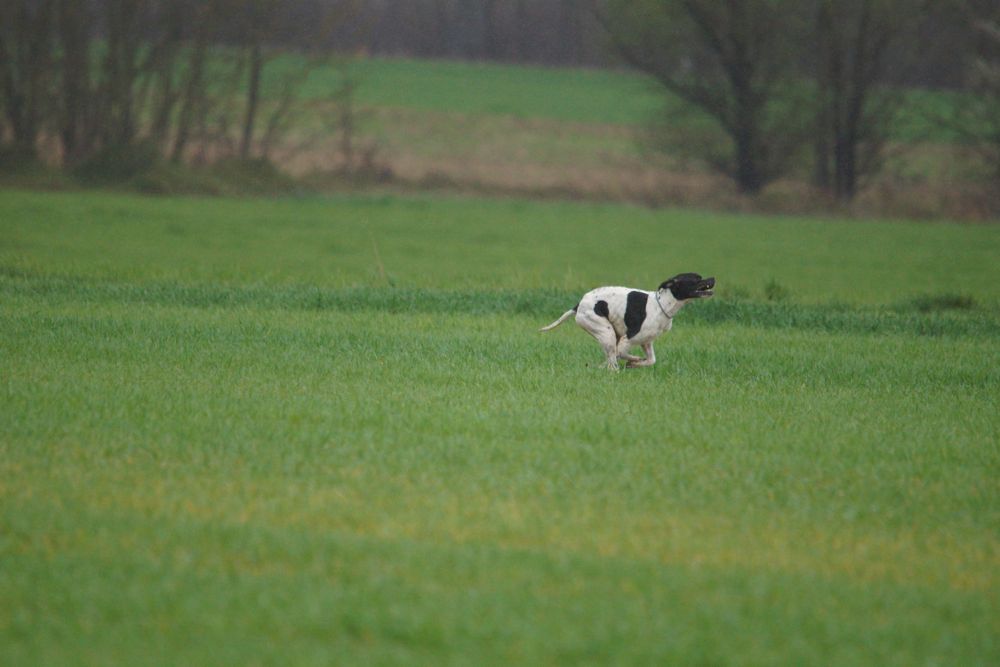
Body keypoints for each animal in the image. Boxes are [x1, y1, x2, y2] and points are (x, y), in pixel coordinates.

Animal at [540, 273, 715, 370]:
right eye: (696, 279)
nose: (713, 278)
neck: (663, 304)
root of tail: (579, 304)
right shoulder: (628, 338)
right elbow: (623, 353)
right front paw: (635, 360)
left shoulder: (646, 342)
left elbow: (651, 360)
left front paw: (635, 364)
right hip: (608, 334)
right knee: (613, 362)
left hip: (611, 335)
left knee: (610, 360)